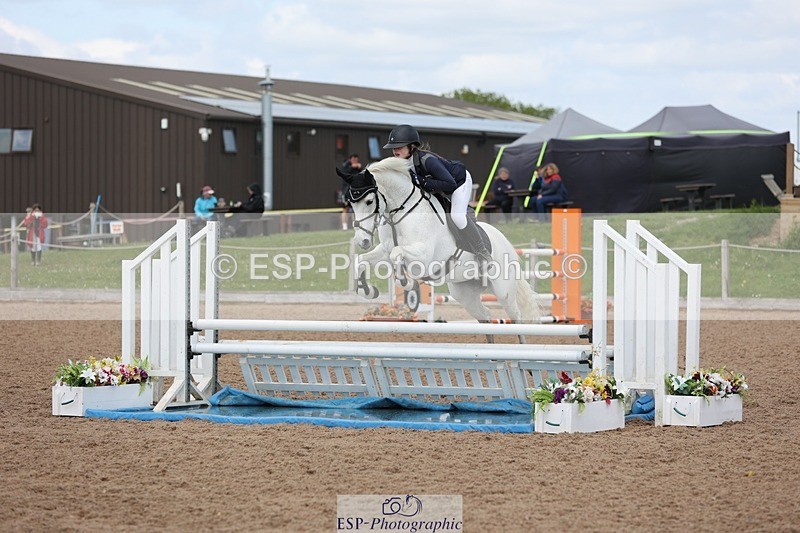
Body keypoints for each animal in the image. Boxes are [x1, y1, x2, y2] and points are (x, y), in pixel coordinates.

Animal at [338, 156, 542, 324]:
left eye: (369, 202)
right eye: (351, 202)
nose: (362, 240)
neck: (401, 212)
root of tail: (507, 244)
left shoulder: (424, 256)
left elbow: (398, 255)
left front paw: (406, 283)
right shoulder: (385, 251)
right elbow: (362, 260)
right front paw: (368, 290)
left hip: (503, 290)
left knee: (517, 317)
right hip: (464, 293)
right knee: (486, 316)